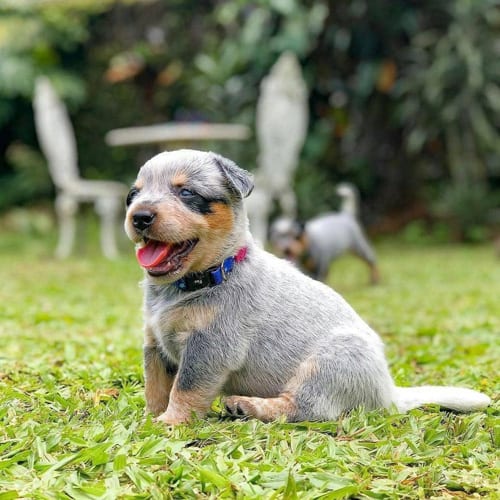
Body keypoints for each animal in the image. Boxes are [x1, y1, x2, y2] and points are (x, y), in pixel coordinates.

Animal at [123, 149, 490, 426]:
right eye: (133, 194)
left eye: (186, 192)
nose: (139, 216)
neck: (207, 277)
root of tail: (388, 391)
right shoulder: (154, 345)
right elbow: (156, 387)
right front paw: (149, 419)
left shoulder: (210, 346)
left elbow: (185, 388)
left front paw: (172, 422)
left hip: (330, 362)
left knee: (308, 408)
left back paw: (250, 406)